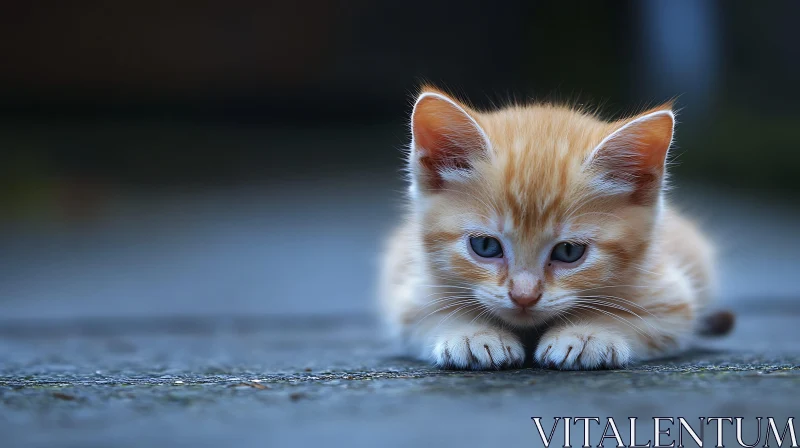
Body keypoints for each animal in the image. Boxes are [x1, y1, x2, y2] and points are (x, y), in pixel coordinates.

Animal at [380, 86, 732, 370]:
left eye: (568, 251)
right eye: (486, 246)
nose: (524, 297)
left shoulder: (673, 298)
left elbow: (648, 320)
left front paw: (589, 333)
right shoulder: (411, 289)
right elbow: (423, 315)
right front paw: (472, 333)